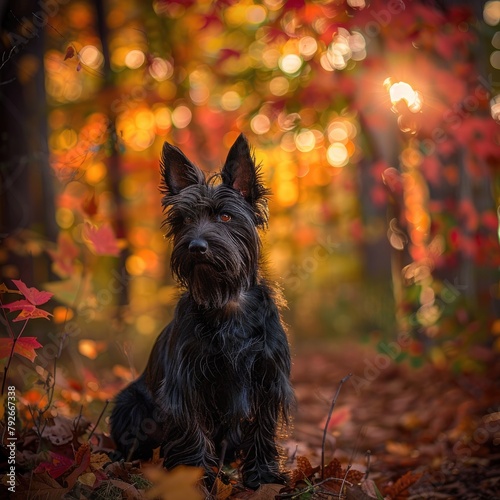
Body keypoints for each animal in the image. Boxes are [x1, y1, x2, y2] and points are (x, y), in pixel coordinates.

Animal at [110, 134, 292, 488]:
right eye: (185, 220)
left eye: (225, 217)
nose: (196, 247)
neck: (227, 302)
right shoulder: (187, 383)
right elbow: (193, 432)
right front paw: (195, 478)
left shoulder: (268, 378)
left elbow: (263, 429)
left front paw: (264, 476)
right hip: (130, 403)